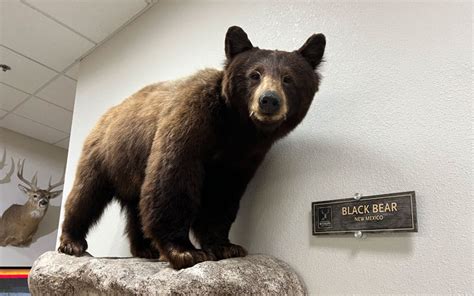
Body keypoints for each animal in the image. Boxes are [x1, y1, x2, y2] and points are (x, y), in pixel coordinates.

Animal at [58, 26, 326, 270]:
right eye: (254, 74)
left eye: (288, 78)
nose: (269, 100)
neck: (237, 128)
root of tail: (107, 113)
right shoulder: (192, 120)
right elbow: (173, 178)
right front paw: (185, 251)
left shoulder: (243, 156)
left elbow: (222, 195)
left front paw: (226, 246)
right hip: (106, 153)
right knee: (86, 194)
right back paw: (72, 241)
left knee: (136, 206)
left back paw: (145, 248)